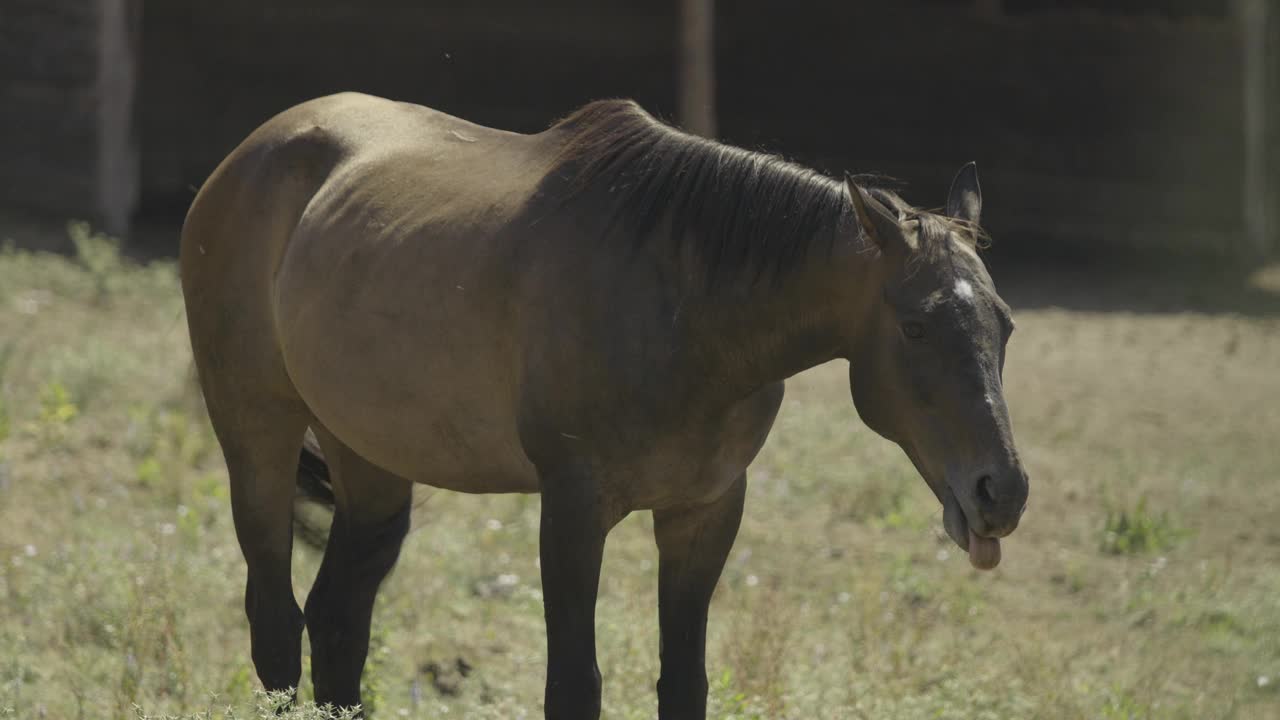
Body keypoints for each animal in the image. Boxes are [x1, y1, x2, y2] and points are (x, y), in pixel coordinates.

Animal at [177, 92, 1029, 712]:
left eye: (1005, 322)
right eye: (915, 326)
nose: (1003, 491)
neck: (684, 308)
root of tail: (249, 155)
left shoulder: (704, 511)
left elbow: (684, 683)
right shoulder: (573, 508)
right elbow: (573, 687)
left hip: (371, 463)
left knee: (338, 623)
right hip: (256, 435)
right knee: (277, 624)